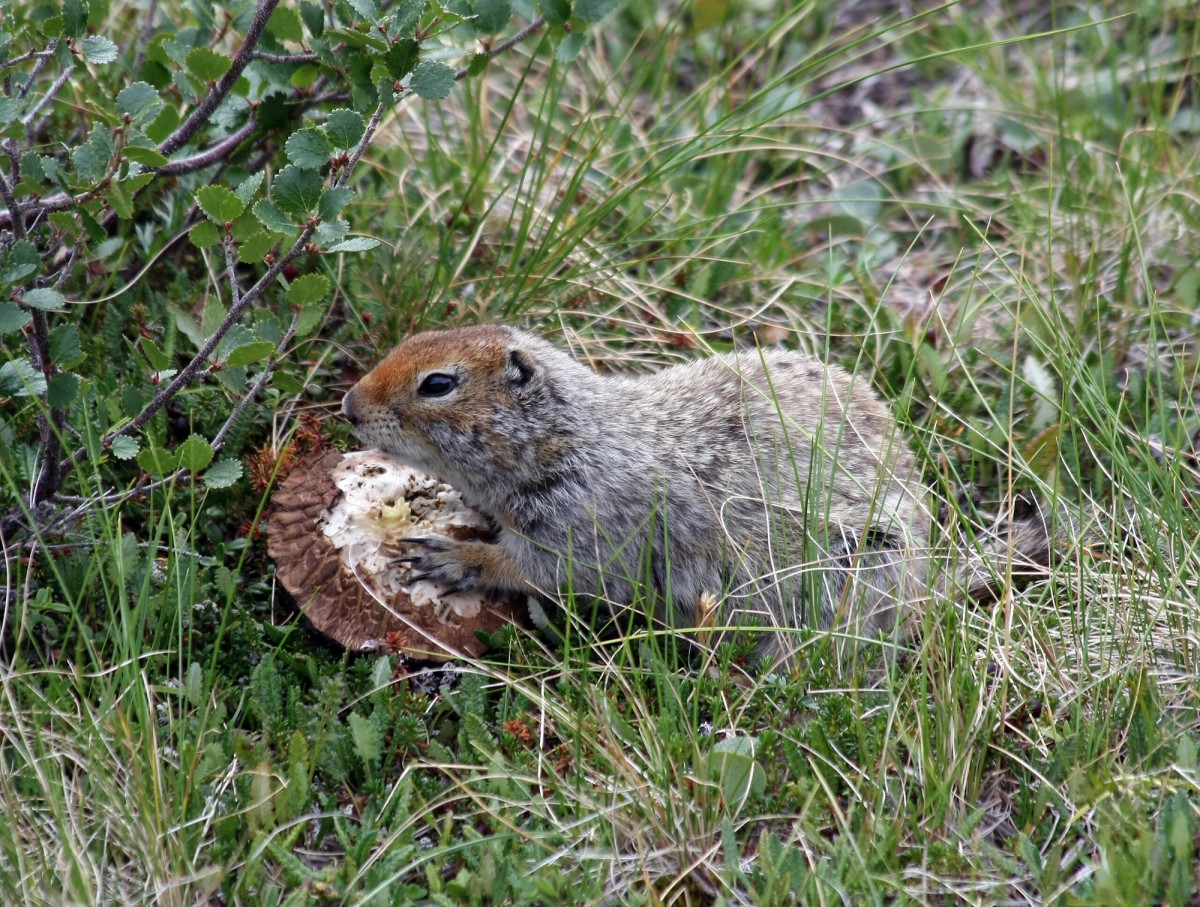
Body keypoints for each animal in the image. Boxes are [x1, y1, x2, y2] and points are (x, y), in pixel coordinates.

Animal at [341, 324, 1055, 665]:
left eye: (438, 384)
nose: (348, 405)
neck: (567, 438)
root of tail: (928, 581)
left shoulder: (588, 523)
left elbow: (543, 569)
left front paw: (449, 556)